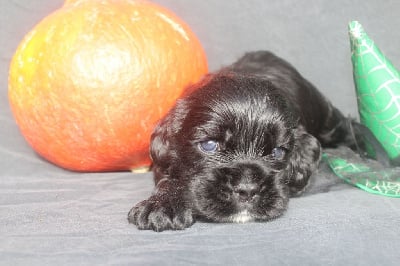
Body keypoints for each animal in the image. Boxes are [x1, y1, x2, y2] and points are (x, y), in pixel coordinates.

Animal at [128, 51, 354, 231]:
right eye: (209, 145)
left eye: (277, 152)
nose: (247, 190)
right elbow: (170, 177)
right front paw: (162, 205)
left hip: (327, 116)